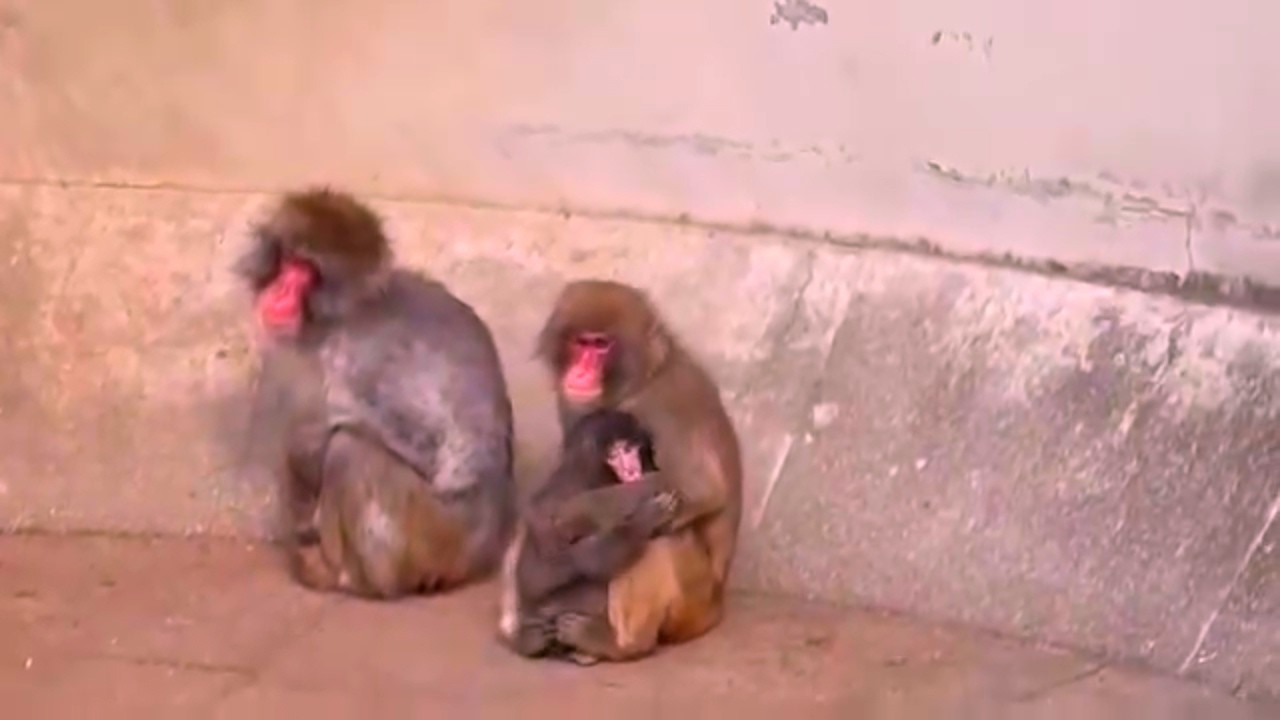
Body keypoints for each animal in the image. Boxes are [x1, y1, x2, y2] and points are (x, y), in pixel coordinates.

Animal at [233, 187, 516, 599]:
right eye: (288, 262)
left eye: (306, 272)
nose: (280, 290)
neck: (350, 310)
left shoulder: (346, 359)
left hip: (428, 536)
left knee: (349, 448)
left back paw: (354, 578)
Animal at [501, 409, 680, 662]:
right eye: (615, 454)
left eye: (629, 448)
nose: (630, 467)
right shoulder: (569, 486)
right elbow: (538, 573)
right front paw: (642, 520)